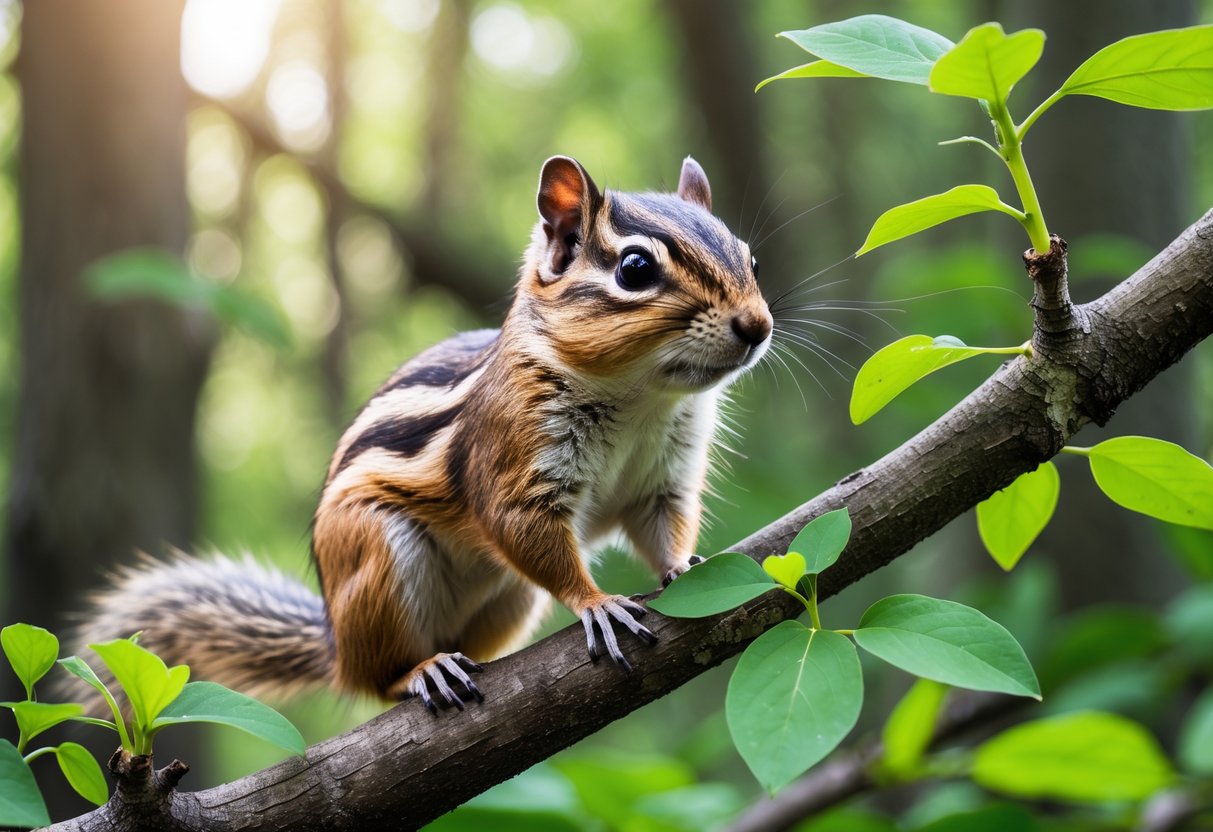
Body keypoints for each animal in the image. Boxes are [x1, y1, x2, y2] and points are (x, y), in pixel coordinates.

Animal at [77, 156, 773, 713]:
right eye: (633, 268)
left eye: (750, 258)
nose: (758, 325)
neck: (640, 399)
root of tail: (337, 644)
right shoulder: (514, 456)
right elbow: (520, 525)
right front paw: (596, 602)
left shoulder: (663, 476)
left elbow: (663, 524)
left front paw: (683, 564)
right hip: (380, 559)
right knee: (378, 679)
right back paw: (422, 670)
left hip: (509, 598)